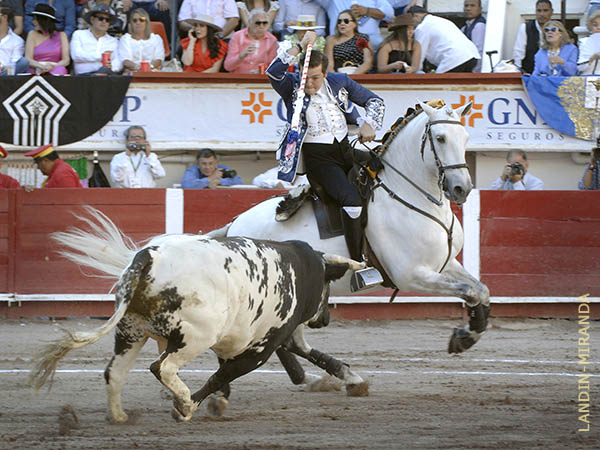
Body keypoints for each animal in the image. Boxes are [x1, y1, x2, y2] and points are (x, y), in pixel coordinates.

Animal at [29, 234, 360, 424]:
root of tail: (150, 256)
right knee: (162, 367)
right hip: (194, 337)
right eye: (328, 286)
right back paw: (185, 403)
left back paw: (120, 416)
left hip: (130, 330)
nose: (324, 318)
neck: (301, 270)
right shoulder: (261, 348)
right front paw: (189, 407)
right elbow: (222, 375)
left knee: (116, 372)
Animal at [213, 100, 490, 354]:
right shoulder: (411, 275)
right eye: (440, 138)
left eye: (465, 137)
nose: (462, 188)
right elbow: (470, 292)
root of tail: (235, 223)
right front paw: (464, 337)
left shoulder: (445, 264)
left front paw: (466, 336)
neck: (408, 195)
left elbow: (481, 290)